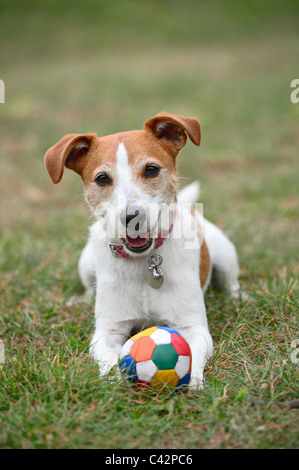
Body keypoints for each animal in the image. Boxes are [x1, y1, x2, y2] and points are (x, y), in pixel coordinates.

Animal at [44, 111, 241, 390]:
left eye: (151, 169)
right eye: (102, 178)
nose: (132, 217)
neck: (143, 263)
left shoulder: (193, 327)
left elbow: (192, 357)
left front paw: (193, 384)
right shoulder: (108, 332)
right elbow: (110, 361)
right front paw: (115, 383)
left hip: (225, 256)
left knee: (231, 284)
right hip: (86, 263)